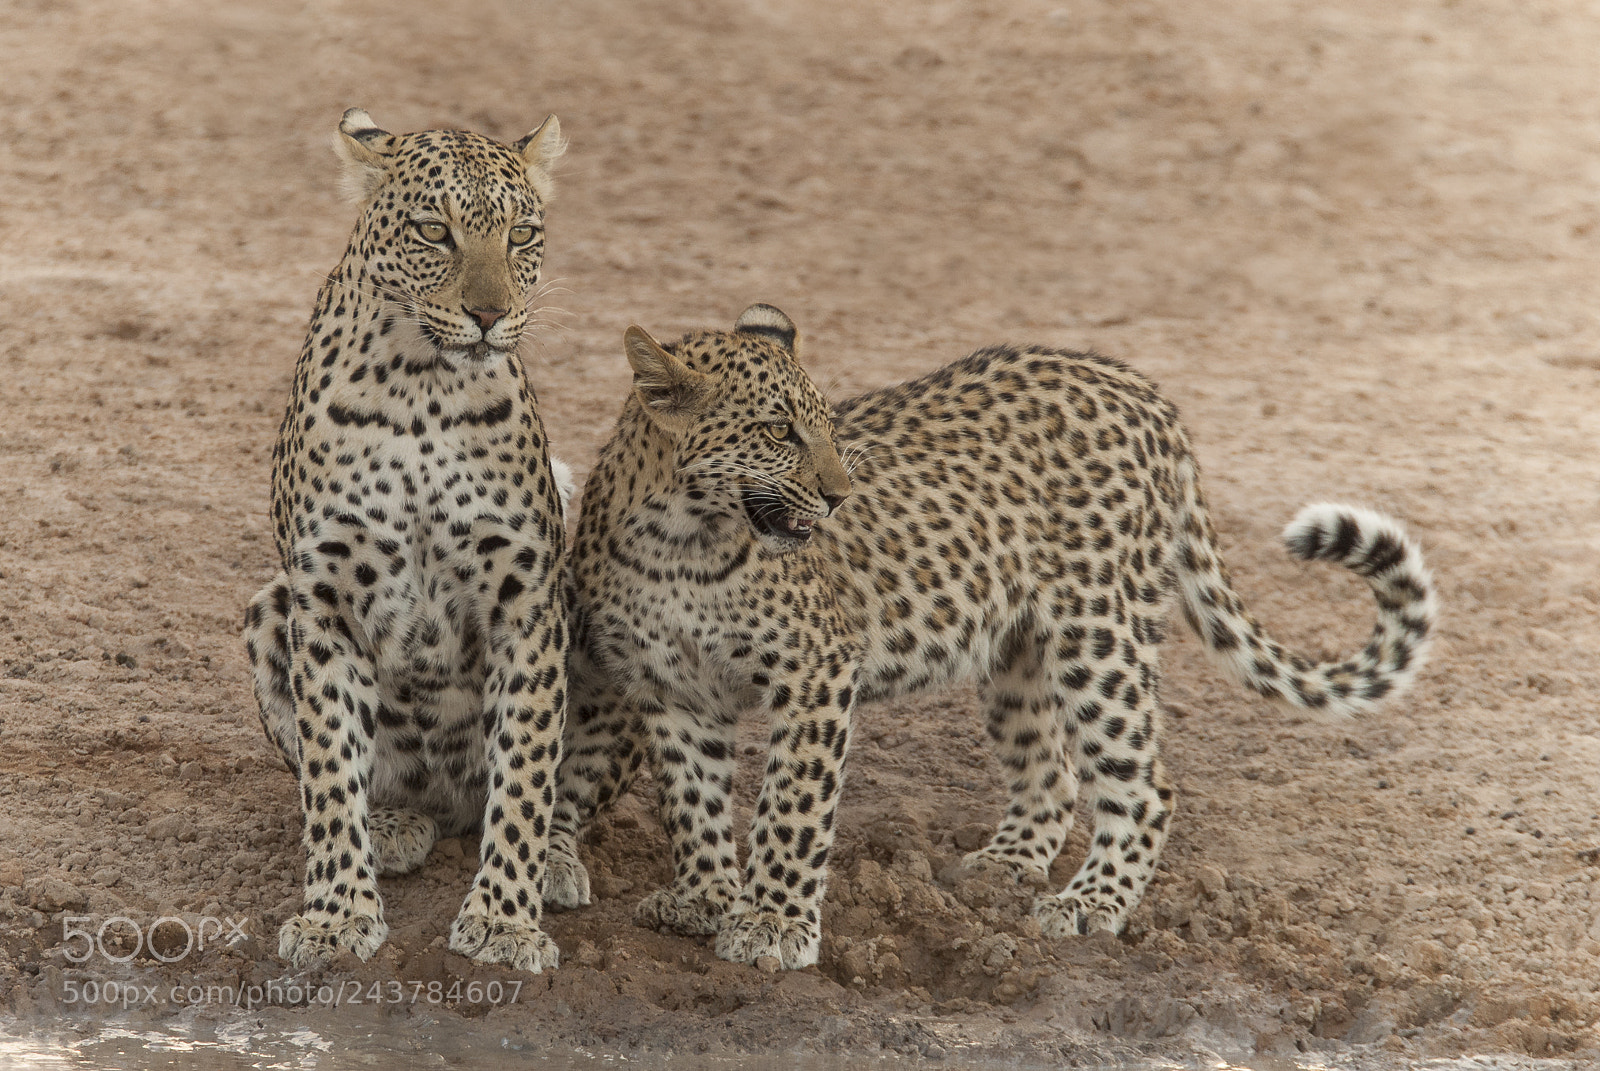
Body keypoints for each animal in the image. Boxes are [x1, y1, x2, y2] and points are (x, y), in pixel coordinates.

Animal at [242, 108, 575, 973]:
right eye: (434, 231)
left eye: (522, 234)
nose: (490, 316)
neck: (423, 385)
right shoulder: (324, 601)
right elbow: (329, 768)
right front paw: (335, 912)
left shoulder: (527, 602)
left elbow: (526, 771)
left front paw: (506, 918)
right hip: (269, 605)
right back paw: (391, 824)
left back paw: (559, 858)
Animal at [542, 303, 1437, 970]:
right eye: (778, 431)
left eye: (825, 426)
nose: (839, 494)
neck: (681, 541)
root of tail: (1148, 393)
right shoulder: (670, 686)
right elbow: (693, 800)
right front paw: (702, 899)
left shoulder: (816, 672)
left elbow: (792, 807)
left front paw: (773, 924)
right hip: (1019, 652)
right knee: (1052, 770)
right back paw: (1003, 870)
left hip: (1098, 629)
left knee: (1144, 783)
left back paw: (1089, 901)